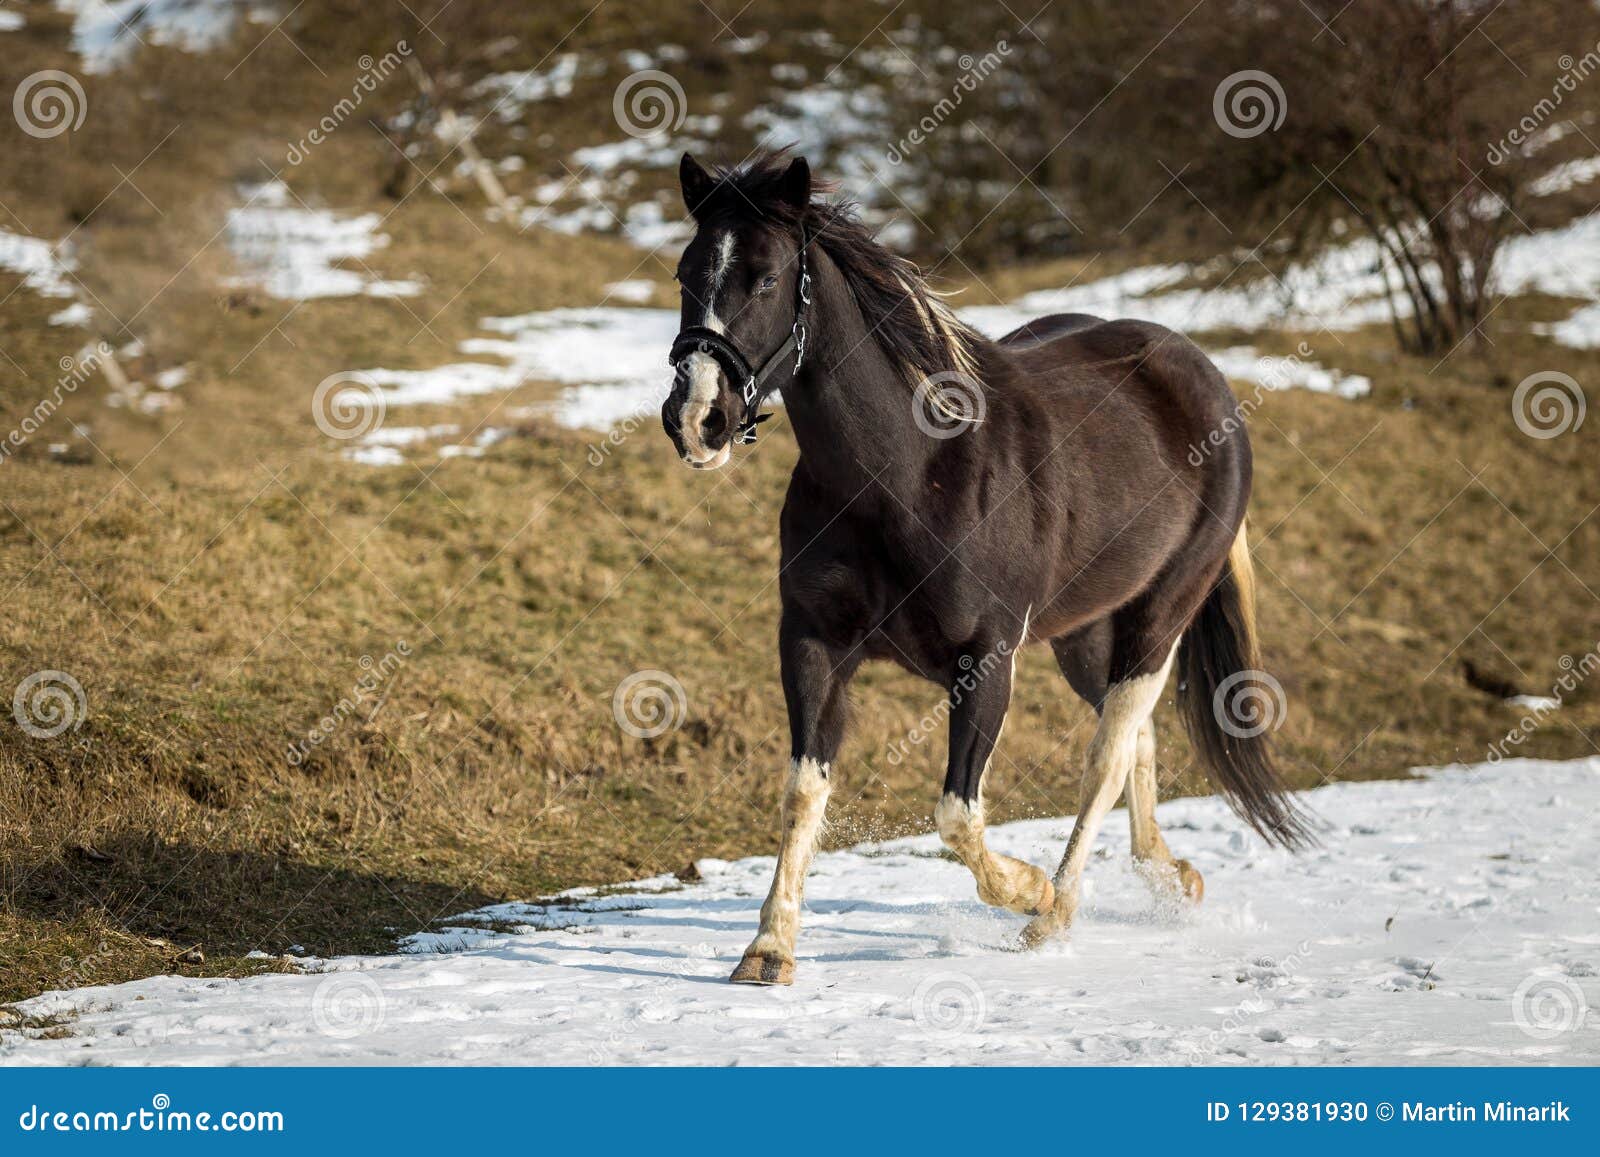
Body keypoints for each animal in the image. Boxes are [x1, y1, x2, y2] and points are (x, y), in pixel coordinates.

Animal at [656, 151, 1305, 985]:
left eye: (766, 278)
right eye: (686, 273)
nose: (697, 419)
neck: (907, 474)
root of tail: (1201, 373)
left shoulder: (986, 659)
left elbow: (957, 815)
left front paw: (1028, 891)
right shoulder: (811, 643)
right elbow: (804, 790)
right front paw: (769, 949)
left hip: (1158, 619)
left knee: (1106, 755)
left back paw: (1056, 910)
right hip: (1085, 634)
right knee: (1134, 740)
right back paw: (1170, 876)